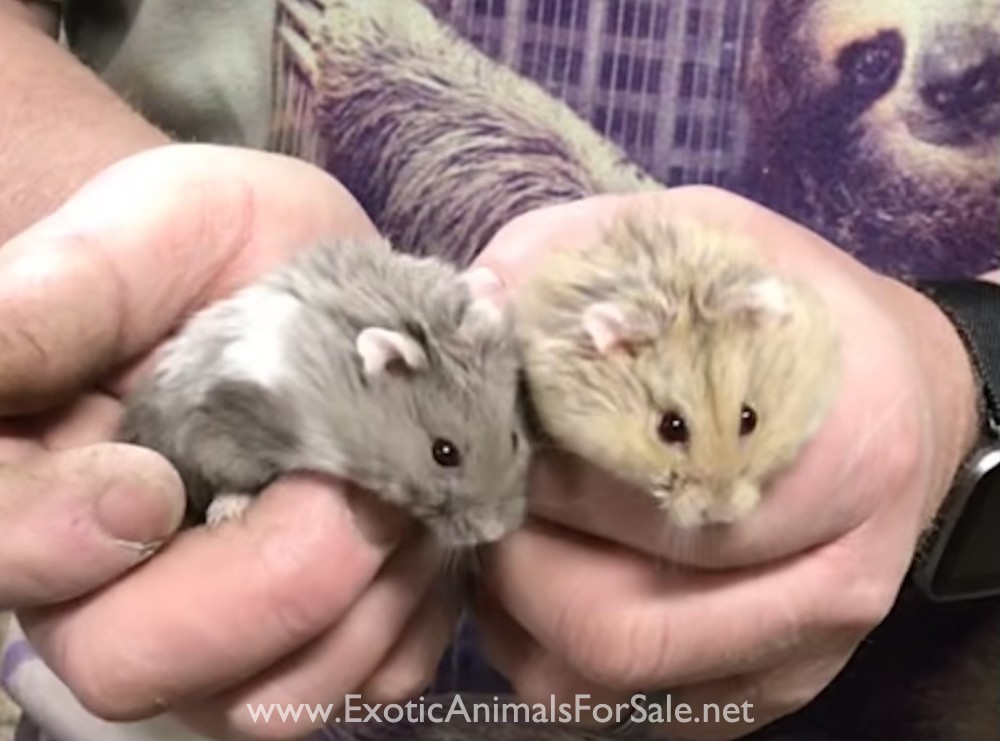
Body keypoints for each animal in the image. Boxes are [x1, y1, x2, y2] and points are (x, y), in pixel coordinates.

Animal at [117, 235, 532, 548]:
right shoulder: (225, 426)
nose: (496, 533)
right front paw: (226, 512)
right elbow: (234, 476)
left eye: (514, 438)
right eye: (444, 452)